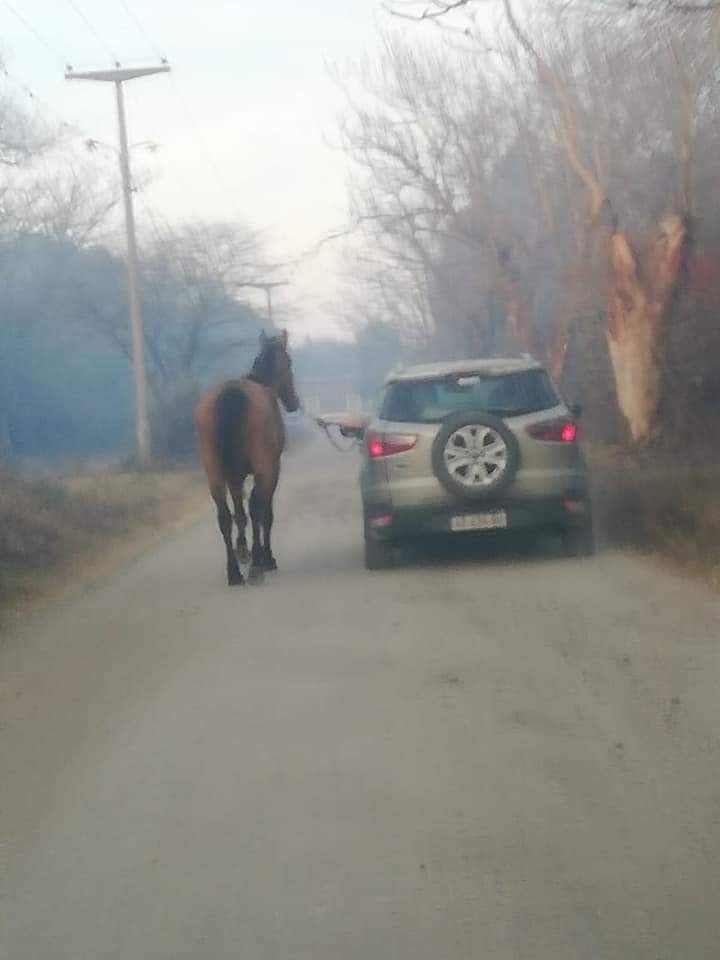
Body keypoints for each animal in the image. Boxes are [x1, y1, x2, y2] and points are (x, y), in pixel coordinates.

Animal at [194, 330, 300, 584]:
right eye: (289, 362)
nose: (294, 402)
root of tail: (230, 394)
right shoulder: (272, 468)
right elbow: (264, 512)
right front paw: (265, 557)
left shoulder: (235, 475)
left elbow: (239, 513)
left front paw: (243, 549)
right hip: (263, 468)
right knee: (256, 508)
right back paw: (257, 565)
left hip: (215, 472)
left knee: (224, 516)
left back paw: (234, 572)